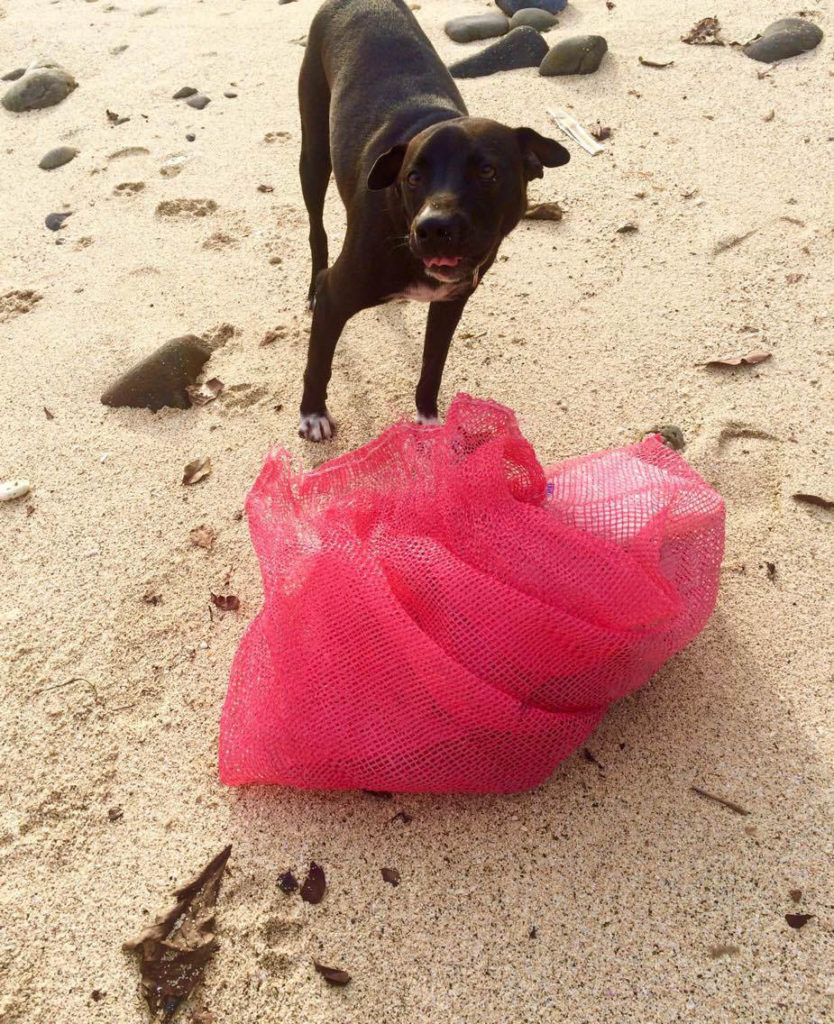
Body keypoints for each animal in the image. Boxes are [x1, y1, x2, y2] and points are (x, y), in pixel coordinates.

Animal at [297, 0, 569, 438]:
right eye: (413, 177)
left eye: (487, 171)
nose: (433, 229)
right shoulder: (335, 298)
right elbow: (317, 363)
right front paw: (313, 413)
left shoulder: (450, 302)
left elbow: (432, 368)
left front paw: (429, 425)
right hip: (314, 151)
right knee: (315, 228)